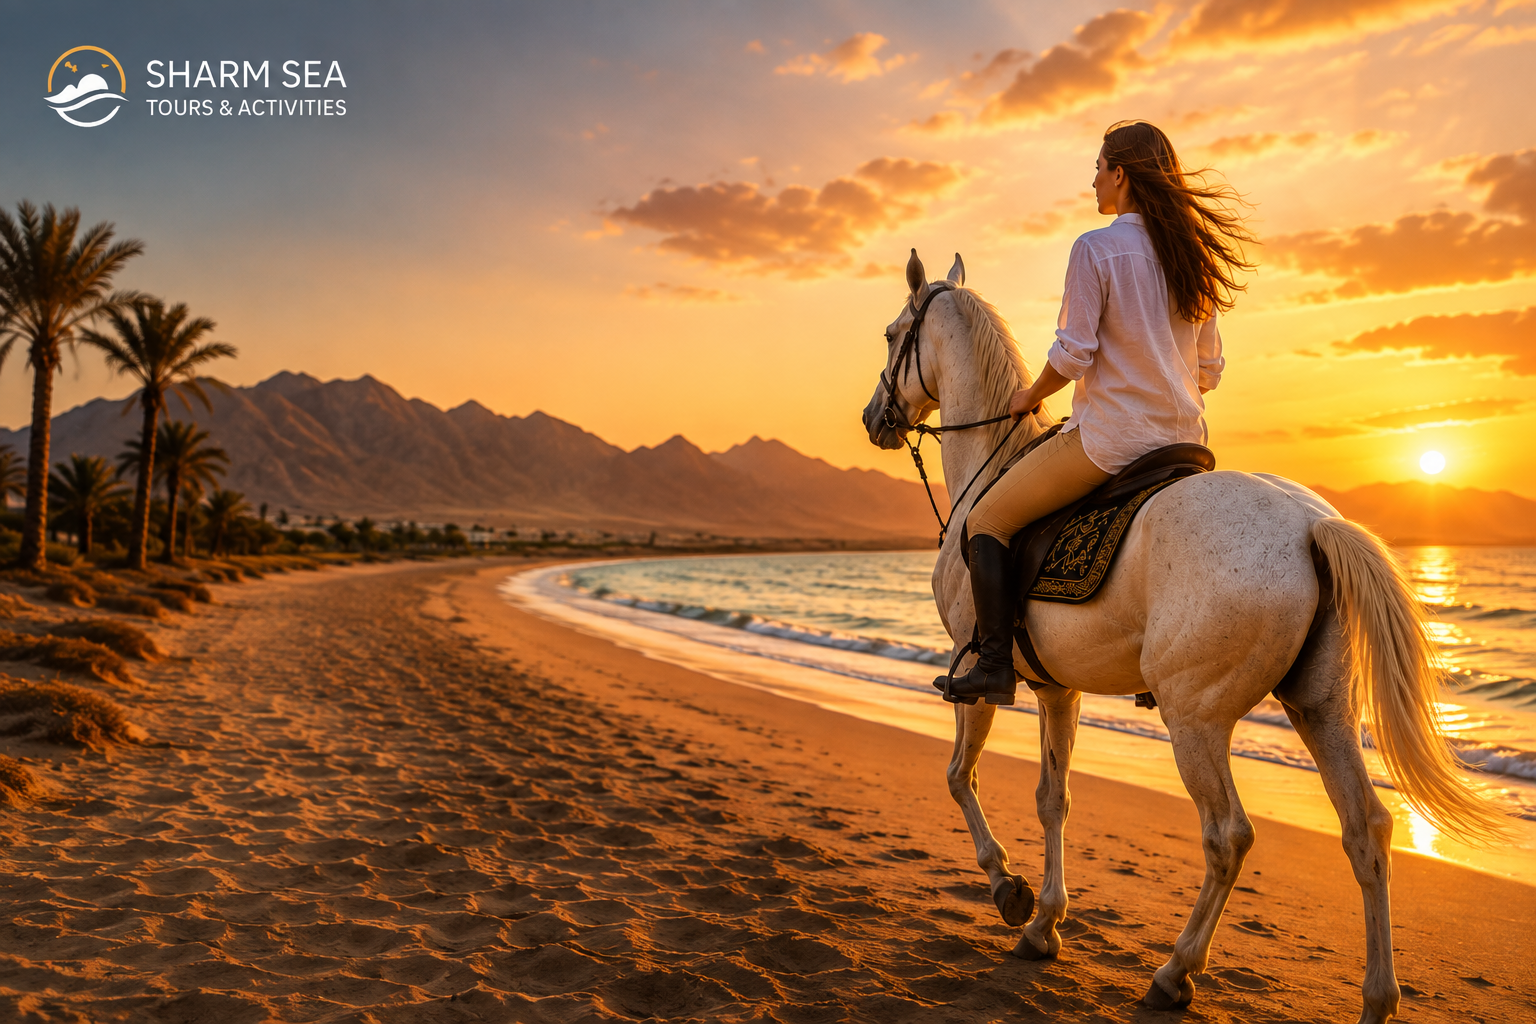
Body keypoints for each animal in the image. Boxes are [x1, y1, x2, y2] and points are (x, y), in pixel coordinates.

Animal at [859, 250, 1510, 1023]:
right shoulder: (1057, 690)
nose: (873, 418)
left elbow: (960, 776)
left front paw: (1009, 892)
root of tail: (1310, 525)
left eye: (892, 333)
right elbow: (1054, 798)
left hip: (1194, 716)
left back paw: (1175, 972)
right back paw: (1377, 997)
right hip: (1320, 707)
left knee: (1228, 836)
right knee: (1367, 829)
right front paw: (1045, 922)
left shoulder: (981, 680)